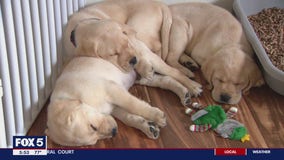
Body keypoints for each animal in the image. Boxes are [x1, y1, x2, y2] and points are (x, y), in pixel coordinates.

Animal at [45, 56, 191, 146]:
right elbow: (128, 118)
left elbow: (134, 105)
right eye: (93, 141)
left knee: (174, 72)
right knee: (166, 80)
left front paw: (156, 116)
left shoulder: (112, 89)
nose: (115, 132)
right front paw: (147, 126)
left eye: (93, 126)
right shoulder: (113, 107)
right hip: (144, 79)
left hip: (153, 62)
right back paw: (184, 94)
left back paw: (193, 86)